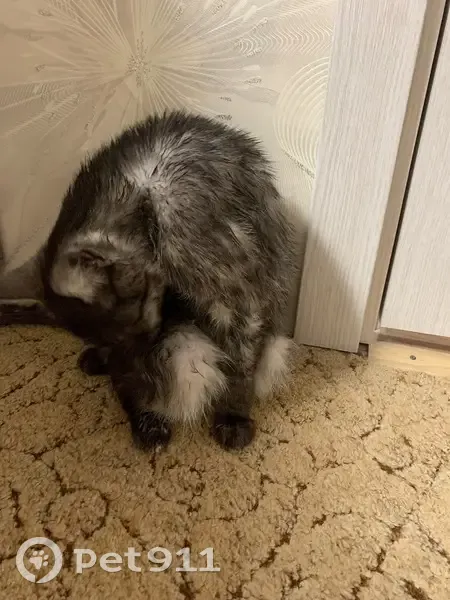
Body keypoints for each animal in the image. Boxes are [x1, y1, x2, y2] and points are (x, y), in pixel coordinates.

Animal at [0, 110, 298, 450]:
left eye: (141, 325)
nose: (139, 348)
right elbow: (127, 379)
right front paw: (142, 414)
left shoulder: (240, 294)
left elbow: (241, 363)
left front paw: (233, 417)